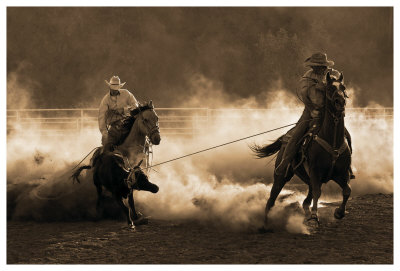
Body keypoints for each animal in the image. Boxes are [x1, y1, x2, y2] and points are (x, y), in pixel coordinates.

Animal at [252, 72, 352, 232]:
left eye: (343, 87)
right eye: (330, 88)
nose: (340, 101)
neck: (332, 141)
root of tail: (286, 137)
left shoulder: (341, 173)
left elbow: (347, 190)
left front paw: (339, 212)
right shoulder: (316, 172)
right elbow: (318, 193)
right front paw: (314, 219)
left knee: (305, 201)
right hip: (282, 176)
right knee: (272, 199)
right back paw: (265, 225)